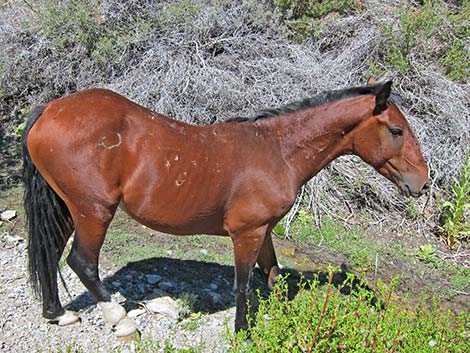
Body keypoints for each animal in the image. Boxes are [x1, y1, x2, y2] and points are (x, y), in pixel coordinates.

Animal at [23, 80, 430, 336]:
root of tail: (49, 109)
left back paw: (57, 314)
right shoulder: (246, 233)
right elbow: (243, 285)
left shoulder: (264, 230)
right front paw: (243, 331)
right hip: (93, 211)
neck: (277, 151)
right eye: (396, 131)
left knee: (50, 253)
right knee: (82, 263)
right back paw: (120, 321)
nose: (423, 183)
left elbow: (273, 275)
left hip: (66, 207)